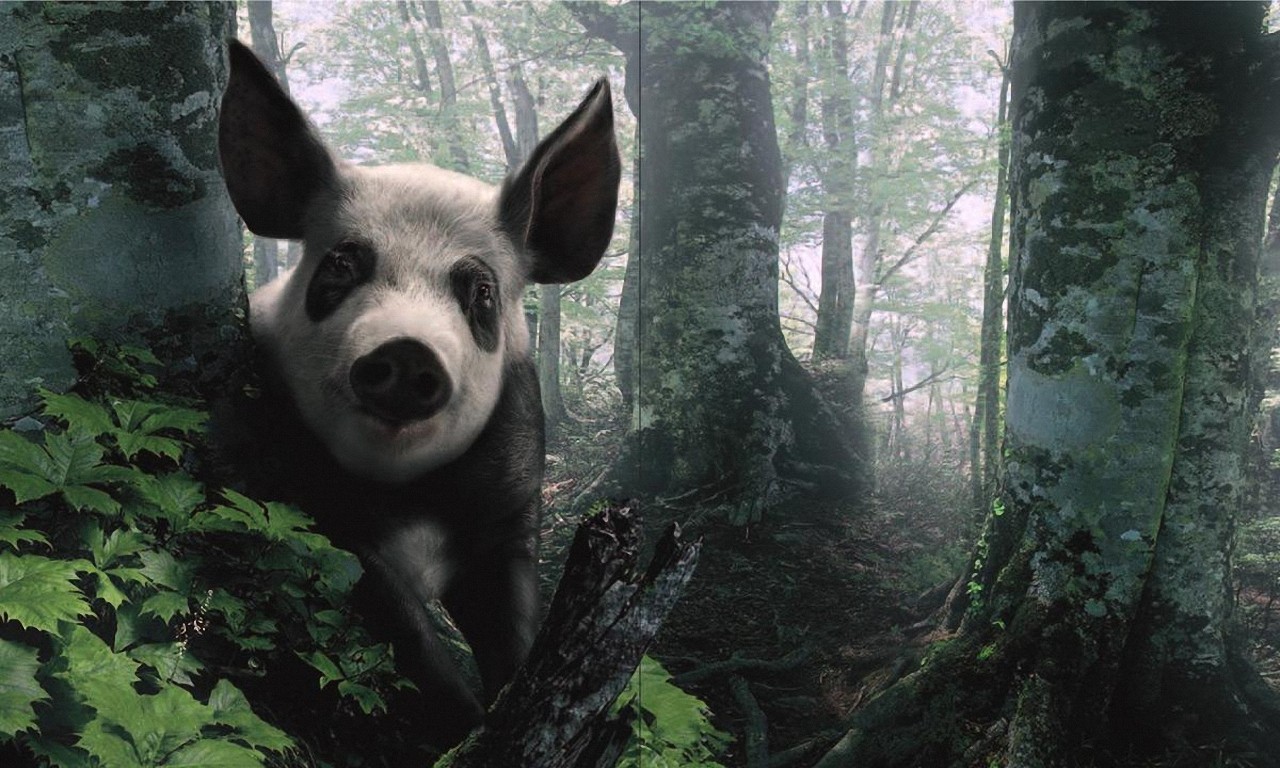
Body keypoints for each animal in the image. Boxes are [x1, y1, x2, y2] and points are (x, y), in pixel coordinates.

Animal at [216, 39, 620, 746]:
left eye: (480, 291)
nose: (407, 350)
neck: (410, 496)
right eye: (341, 265)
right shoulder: (305, 497)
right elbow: (401, 628)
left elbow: (511, 623)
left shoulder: (512, 507)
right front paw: (467, 727)